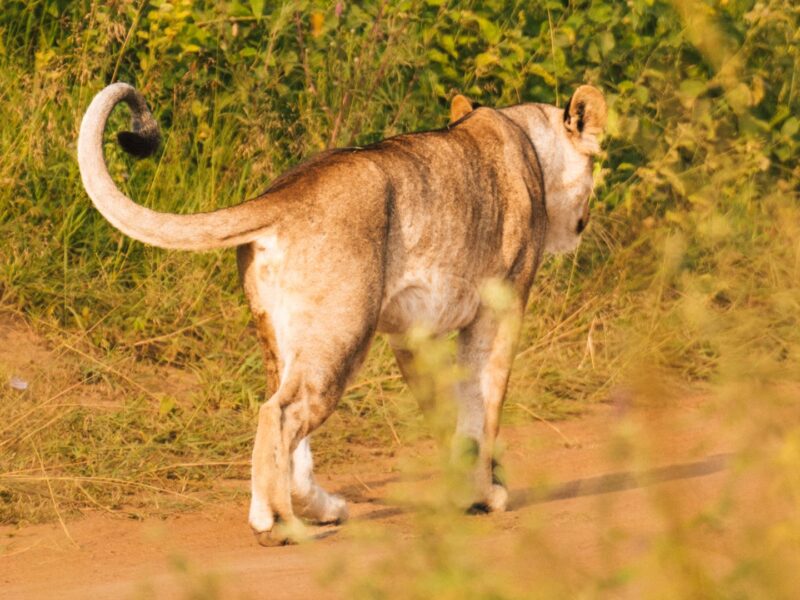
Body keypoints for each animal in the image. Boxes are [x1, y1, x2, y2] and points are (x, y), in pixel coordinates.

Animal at [77, 82, 606, 545]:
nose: (583, 223)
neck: (527, 139)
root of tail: (285, 193)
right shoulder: (501, 307)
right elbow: (484, 407)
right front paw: (485, 495)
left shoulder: (413, 333)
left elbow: (446, 410)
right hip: (343, 331)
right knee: (279, 414)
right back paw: (278, 524)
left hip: (289, 338)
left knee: (288, 425)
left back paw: (321, 507)